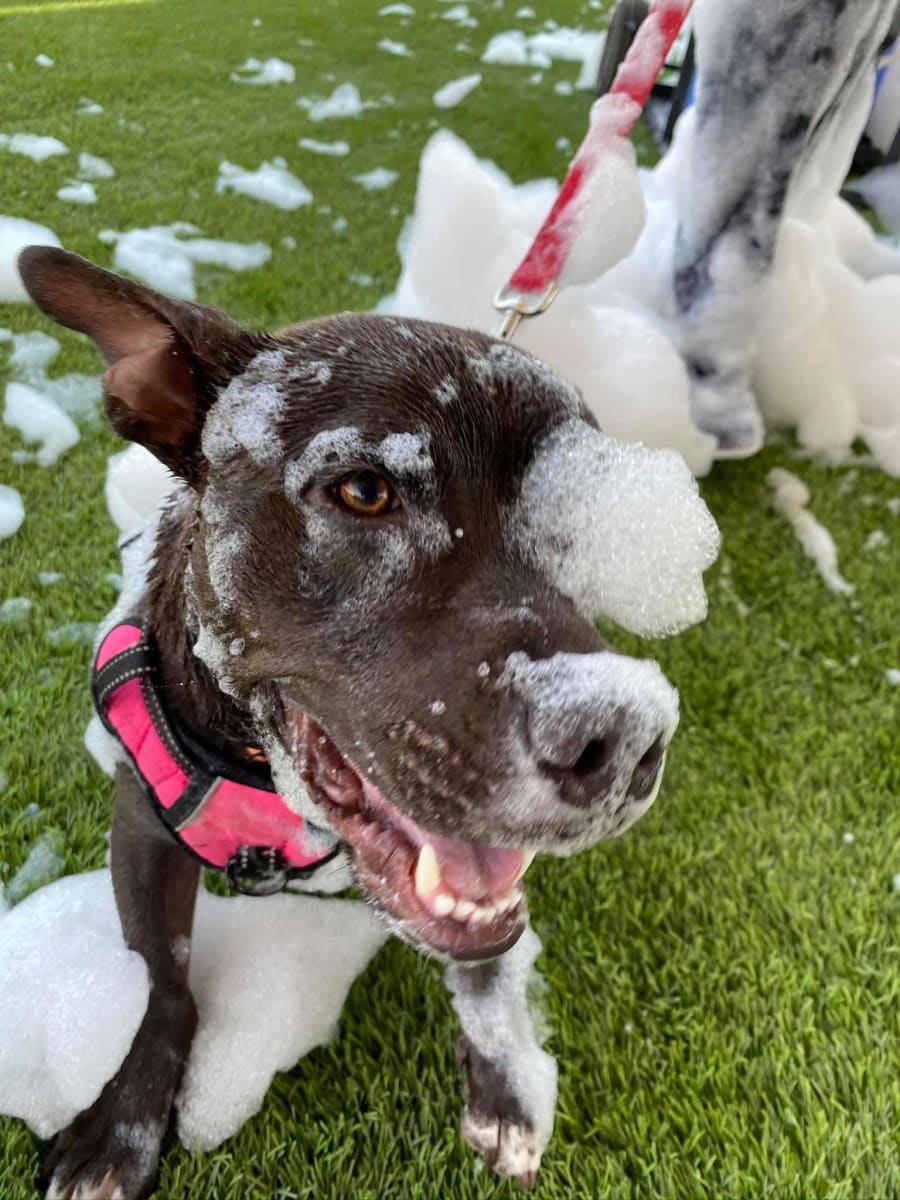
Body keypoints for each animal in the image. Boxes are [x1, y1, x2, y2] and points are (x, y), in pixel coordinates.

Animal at [19, 245, 685, 1199]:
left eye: (583, 515)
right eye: (364, 490)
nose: (625, 740)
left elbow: (488, 954)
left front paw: (507, 1081)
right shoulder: (141, 824)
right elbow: (158, 975)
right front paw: (120, 1126)